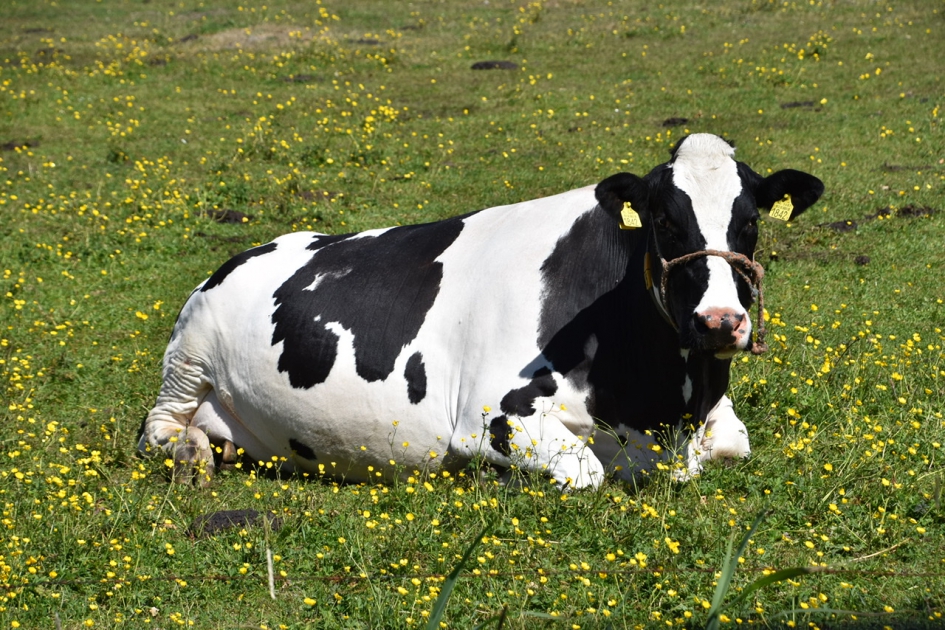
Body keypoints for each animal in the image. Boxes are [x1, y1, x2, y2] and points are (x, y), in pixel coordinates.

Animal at [139, 133, 824, 490]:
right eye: (663, 218)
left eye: (750, 220)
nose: (720, 322)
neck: (662, 401)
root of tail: (261, 246)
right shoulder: (491, 413)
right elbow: (587, 471)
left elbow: (734, 444)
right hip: (190, 354)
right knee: (158, 426)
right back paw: (192, 454)